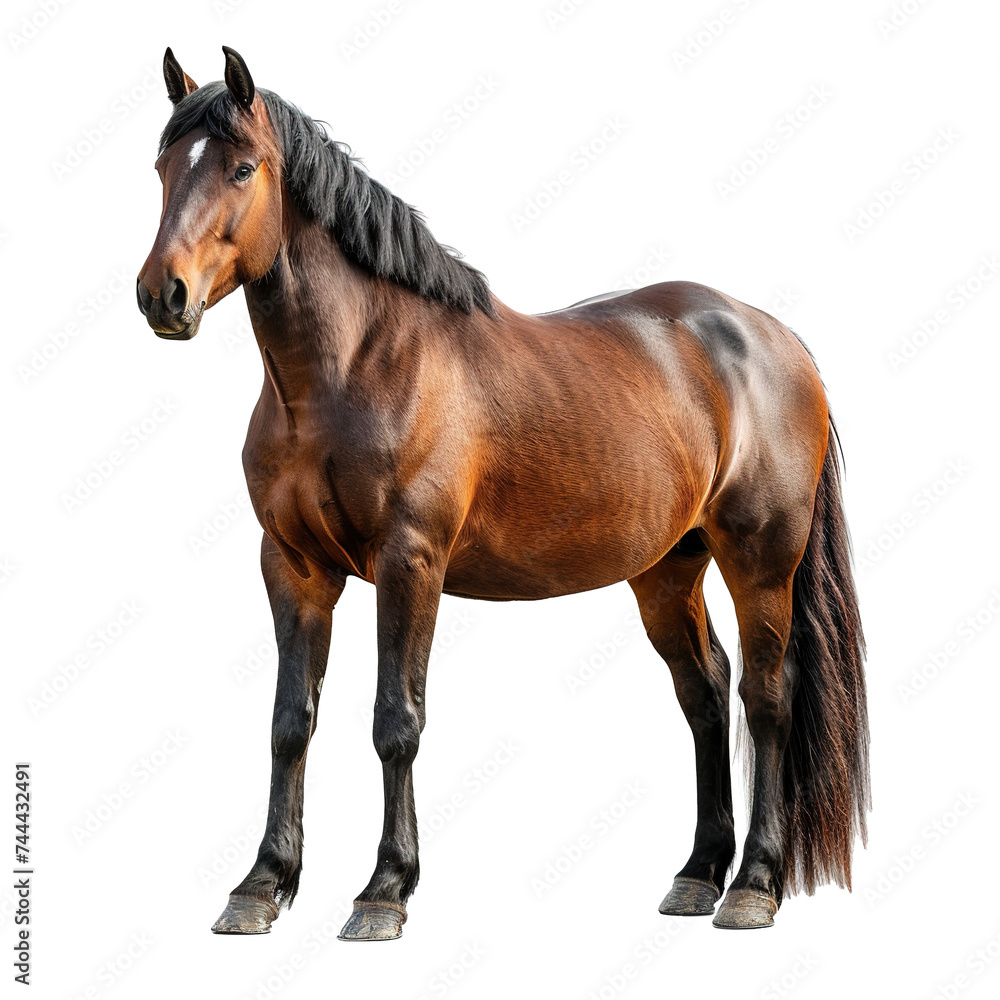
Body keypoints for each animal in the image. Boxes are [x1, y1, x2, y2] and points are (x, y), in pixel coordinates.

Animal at [137, 46, 869, 940]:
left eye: (242, 167)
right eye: (164, 166)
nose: (163, 294)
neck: (353, 367)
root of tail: (775, 338)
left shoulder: (409, 564)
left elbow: (396, 722)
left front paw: (384, 889)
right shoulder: (293, 568)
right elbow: (288, 724)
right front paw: (260, 885)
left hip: (760, 563)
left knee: (765, 697)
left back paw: (754, 885)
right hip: (668, 570)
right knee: (704, 693)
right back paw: (698, 874)